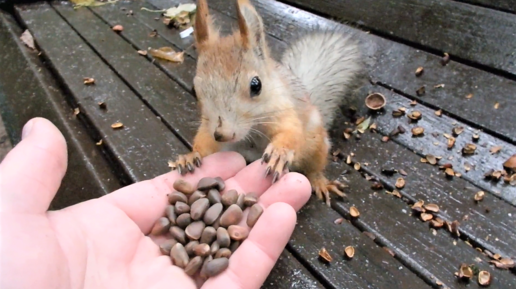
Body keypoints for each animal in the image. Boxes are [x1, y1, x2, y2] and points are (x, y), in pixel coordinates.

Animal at [169, 0, 362, 205]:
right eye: (194, 90)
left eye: (256, 85)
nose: (223, 134)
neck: (253, 128)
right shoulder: (209, 126)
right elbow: (205, 141)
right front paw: (190, 156)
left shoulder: (283, 109)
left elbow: (291, 130)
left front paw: (279, 152)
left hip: (316, 144)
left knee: (313, 167)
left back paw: (320, 181)